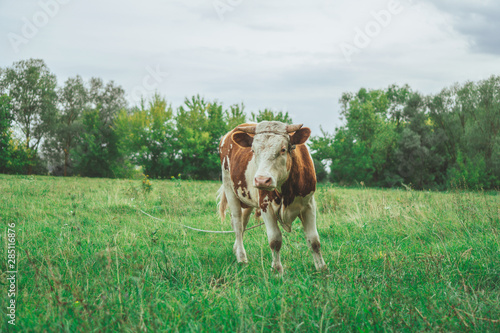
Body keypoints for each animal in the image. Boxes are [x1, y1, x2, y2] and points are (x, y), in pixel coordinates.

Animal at [217, 120, 326, 272]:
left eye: (283, 149)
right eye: (253, 150)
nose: (262, 180)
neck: (287, 190)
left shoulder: (309, 204)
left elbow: (314, 240)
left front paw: (322, 269)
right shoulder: (266, 206)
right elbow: (275, 240)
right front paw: (277, 270)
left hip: (247, 198)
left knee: (243, 223)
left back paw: (236, 249)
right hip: (230, 189)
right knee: (238, 225)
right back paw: (241, 257)